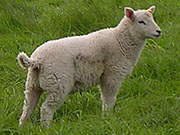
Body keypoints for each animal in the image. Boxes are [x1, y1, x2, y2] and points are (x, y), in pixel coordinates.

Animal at [17, 5, 162, 126]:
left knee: (28, 108)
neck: (121, 41)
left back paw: (23, 127)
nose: (158, 31)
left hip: (33, 84)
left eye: (152, 19)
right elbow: (109, 100)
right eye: (141, 22)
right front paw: (107, 118)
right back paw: (46, 128)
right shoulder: (112, 76)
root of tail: (37, 60)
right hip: (58, 83)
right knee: (46, 108)